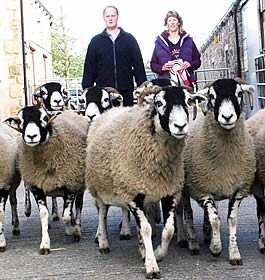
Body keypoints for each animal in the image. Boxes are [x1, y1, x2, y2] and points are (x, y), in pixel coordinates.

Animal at [4, 105, 88, 254]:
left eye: (44, 118)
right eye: (20, 121)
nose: (31, 136)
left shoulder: (71, 185)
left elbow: (66, 215)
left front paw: (71, 230)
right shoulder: (37, 187)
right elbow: (44, 214)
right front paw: (45, 245)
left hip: (79, 184)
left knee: (78, 206)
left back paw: (76, 230)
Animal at [85, 83, 205, 278]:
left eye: (188, 101)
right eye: (159, 103)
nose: (180, 126)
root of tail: (109, 112)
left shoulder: (169, 192)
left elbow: (168, 230)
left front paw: (157, 253)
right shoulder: (134, 195)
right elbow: (146, 229)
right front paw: (151, 265)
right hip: (99, 186)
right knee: (102, 213)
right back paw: (103, 242)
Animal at [182, 78, 256, 264]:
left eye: (239, 93)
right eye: (212, 96)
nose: (227, 117)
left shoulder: (238, 190)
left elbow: (231, 220)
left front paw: (234, 254)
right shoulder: (201, 190)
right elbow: (216, 219)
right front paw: (215, 249)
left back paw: (207, 234)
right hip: (185, 188)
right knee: (188, 213)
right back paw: (193, 243)